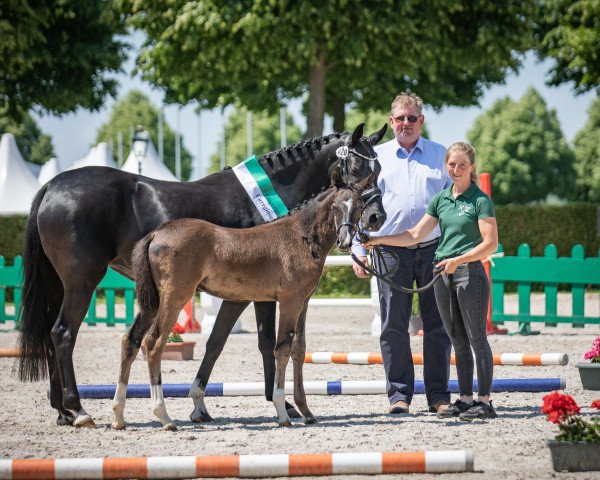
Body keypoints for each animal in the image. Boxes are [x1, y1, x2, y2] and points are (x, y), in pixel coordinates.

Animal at [111, 174, 376, 430]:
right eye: (335, 206)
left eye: (358, 206)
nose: (345, 241)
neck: (300, 236)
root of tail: (157, 233)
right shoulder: (289, 301)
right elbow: (281, 349)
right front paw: (283, 412)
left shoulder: (304, 301)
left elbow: (299, 350)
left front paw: (307, 412)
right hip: (174, 298)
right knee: (154, 343)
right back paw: (164, 416)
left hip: (153, 302)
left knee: (130, 340)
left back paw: (118, 416)